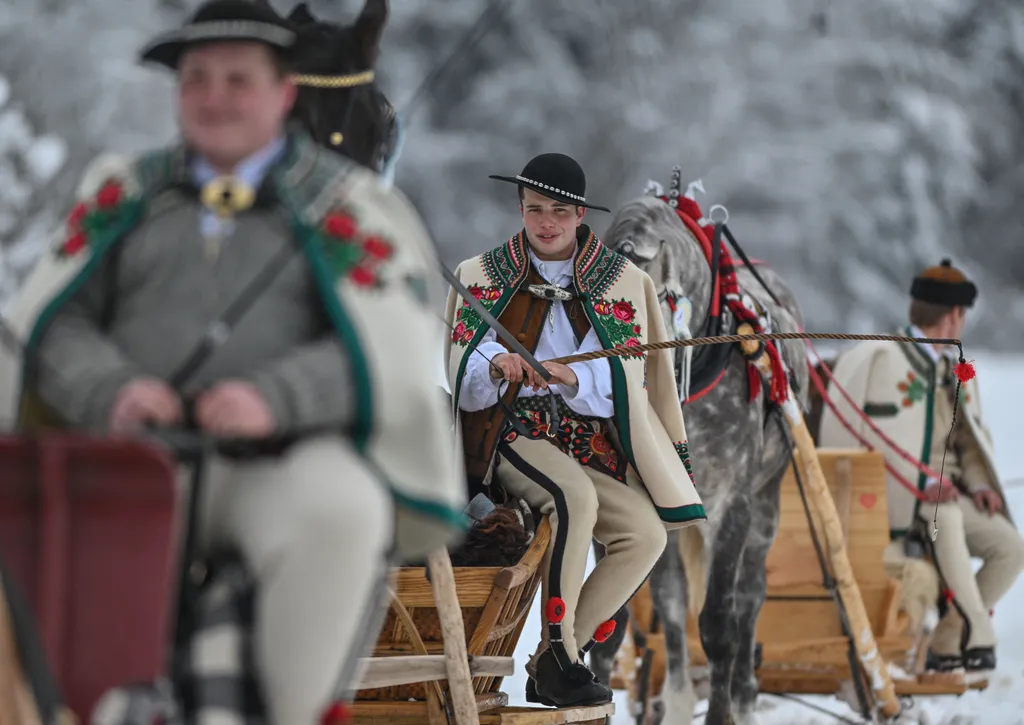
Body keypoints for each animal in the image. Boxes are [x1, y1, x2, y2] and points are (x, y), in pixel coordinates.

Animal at [593, 189, 806, 720]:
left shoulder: (733, 503)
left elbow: (718, 625)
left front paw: (722, 712)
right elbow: (615, 619)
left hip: (766, 505)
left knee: (749, 599)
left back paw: (745, 698)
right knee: (670, 602)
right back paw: (675, 698)